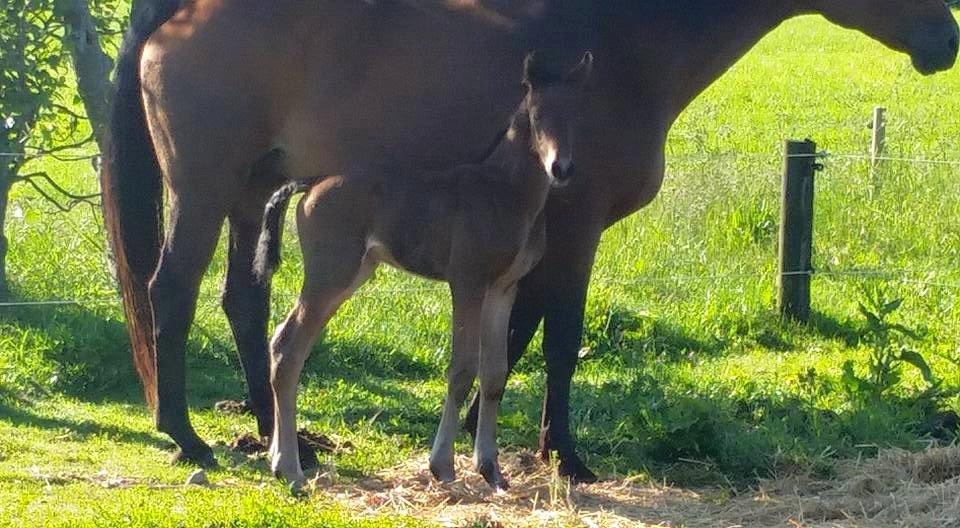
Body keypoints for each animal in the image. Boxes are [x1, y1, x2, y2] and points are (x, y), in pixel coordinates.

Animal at [255, 51, 592, 488]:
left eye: (575, 116)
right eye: (536, 117)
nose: (561, 168)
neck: (505, 192)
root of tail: (312, 182)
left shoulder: (504, 287)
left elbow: (495, 373)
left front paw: (491, 470)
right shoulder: (467, 281)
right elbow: (462, 369)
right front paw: (442, 465)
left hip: (353, 271)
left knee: (286, 342)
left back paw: (279, 459)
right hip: (332, 270)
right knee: (290, 346)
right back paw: (291, 469)